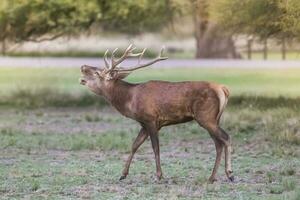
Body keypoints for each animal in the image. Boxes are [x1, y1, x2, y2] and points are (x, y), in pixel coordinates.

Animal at [79, 44, 234, 184]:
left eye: (97, 73)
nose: (83, 66)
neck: (130, 100)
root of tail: (223, 89)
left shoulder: (151, 119)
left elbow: (155, 147)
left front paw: (159, 176)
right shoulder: (145, 124)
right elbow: (134, 145)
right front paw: (123, 174)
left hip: (206, 117)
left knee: (225, 137)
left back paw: (230, 174)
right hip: (214, 119)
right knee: (218, 144)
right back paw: (212, 177)